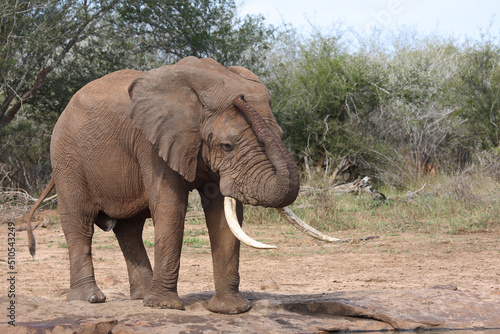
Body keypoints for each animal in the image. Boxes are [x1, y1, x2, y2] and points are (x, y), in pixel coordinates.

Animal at [27, 56, 340, 314]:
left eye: (281, 134)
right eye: (227, 146)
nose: (241, 97)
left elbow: (223, 214)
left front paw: (231, 310)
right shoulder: (152, 144)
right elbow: (170, 207)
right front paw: (165, 307)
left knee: (129, 229)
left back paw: (142, 297)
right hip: (67, 158)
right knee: (79, 223)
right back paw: (90, 299)